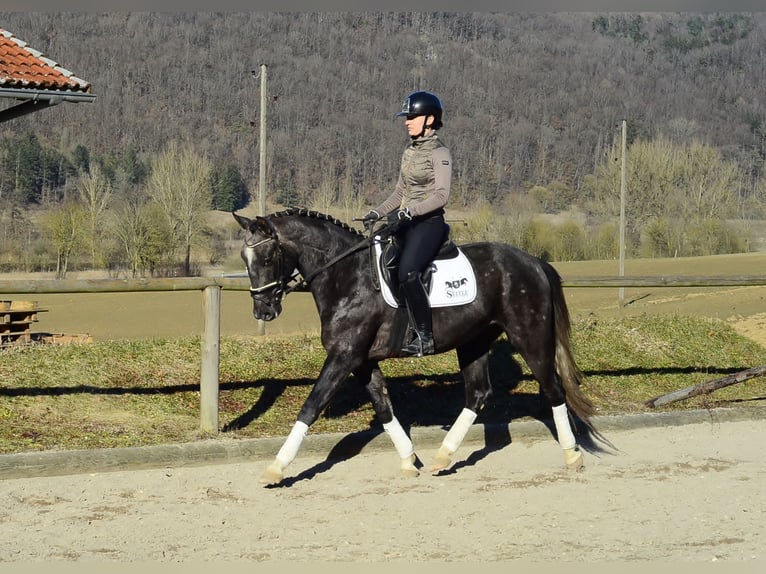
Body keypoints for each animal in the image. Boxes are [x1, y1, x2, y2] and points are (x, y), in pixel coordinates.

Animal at [234, 207, 608, 486]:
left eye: (266, 258)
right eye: (244, 259)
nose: (263, 311)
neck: (347, 276)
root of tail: (533, 262)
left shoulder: (343, 357)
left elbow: (310, 407)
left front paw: (276, 468)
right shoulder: (361, 360)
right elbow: (384, 407)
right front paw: (408, 459)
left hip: (529, 337)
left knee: (554, 388)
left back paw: (572, 455)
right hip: (473, 341)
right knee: (478, 394)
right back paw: (443, 457)